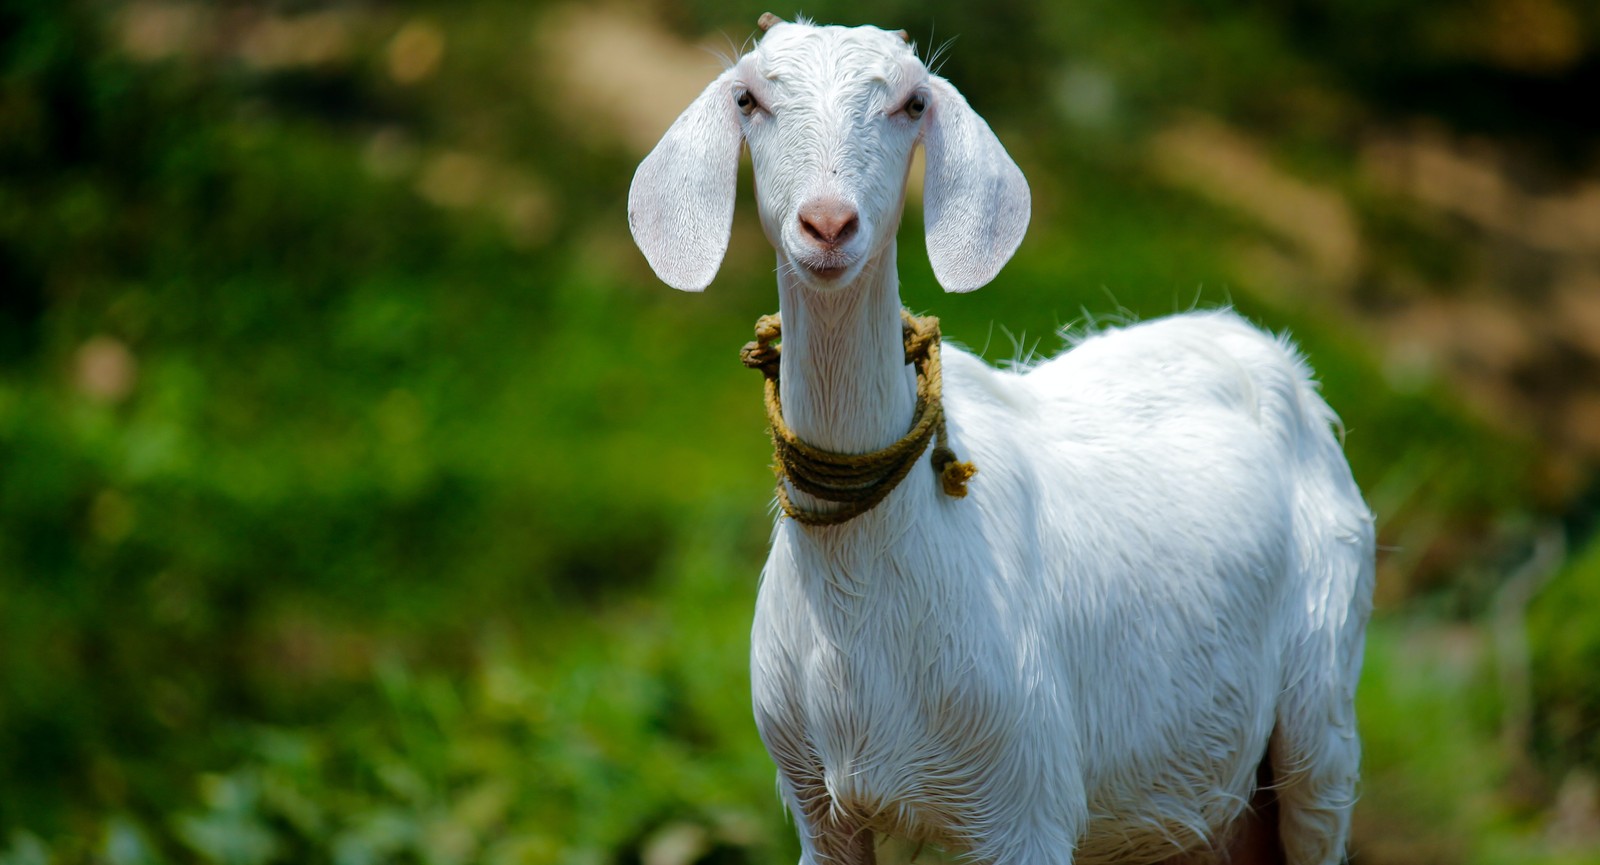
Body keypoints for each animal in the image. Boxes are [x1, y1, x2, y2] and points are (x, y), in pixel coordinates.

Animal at [628, 15, 1374, 865]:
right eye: (749, 98)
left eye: (912, 102)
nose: (827, 224)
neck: (869, 580)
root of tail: (1265, 349)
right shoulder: (818, 804)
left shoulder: (1026, 800)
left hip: (1323, 706)